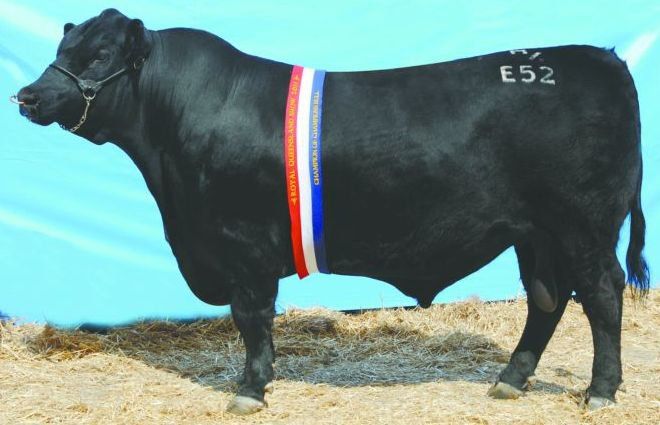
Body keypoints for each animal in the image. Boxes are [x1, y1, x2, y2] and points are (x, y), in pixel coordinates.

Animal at [13, 9, 649, 415]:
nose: (28, 96)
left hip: (585, 225)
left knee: (601, 294)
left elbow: (252, 319)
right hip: (535, 232)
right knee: (547, 298)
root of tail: (604, 60)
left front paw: (250, 390)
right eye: (60, 50)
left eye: (99, 54)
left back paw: (600, 391)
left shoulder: (243, 244)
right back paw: (510, 381)